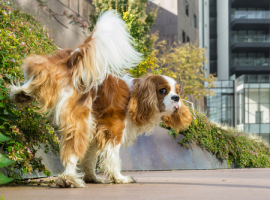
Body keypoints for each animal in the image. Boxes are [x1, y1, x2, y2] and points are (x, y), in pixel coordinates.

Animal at [9, 10, 192, 188]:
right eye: (163, 91)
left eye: (177, 91)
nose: (176, 98)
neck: (135, 96)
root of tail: (75, 58)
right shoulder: (113, 130)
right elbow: (112, 159)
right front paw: (119, 178)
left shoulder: (96, 133)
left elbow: (90, 159)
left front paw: (92, 177)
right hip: (81, 121)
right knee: (72, 151)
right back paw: (69, 179)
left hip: (53, 75)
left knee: (37, 71)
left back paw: (20, 94)